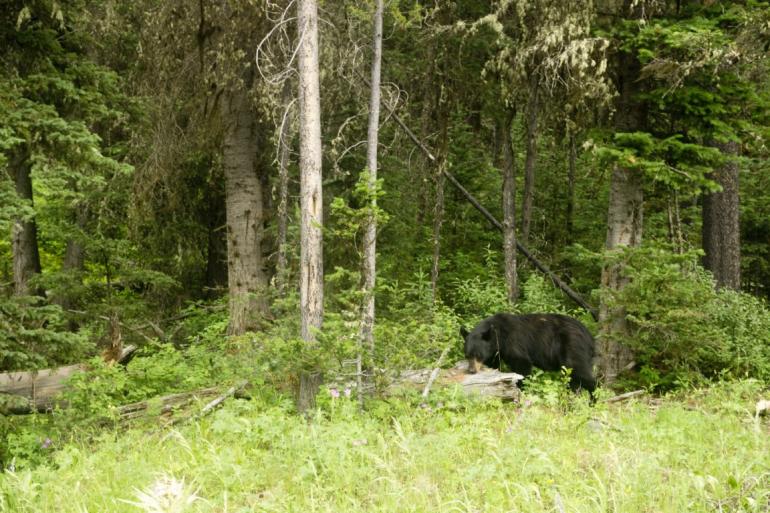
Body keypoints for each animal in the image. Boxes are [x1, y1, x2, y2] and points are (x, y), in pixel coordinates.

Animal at [460, 312, 596, 400]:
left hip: (572, 347)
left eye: (478, 354)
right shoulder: (495, 351)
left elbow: (522, 365)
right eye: (467, 355)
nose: (471, 370)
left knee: (582, 373)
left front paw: (520, 390)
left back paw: (593, 400)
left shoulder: (514, 343)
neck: (499, 335)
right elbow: (494, 365)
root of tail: (589, 335)